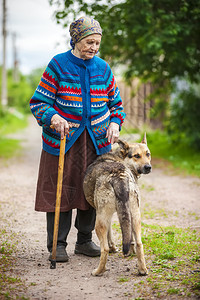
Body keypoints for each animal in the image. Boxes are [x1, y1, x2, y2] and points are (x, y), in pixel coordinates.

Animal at [83, 134, 152, 276]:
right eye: (137, 156)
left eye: (147, 154)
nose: (148, 167)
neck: (121, 160)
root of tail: (119, 175)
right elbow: (129, 238)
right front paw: (126, 250)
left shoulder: (103, 216)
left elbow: (109, 236)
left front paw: (113, 248)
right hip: (136, 217)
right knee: (139, 243)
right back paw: (142, 270)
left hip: (99, 222)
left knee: (104, 249)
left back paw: (98, 271)